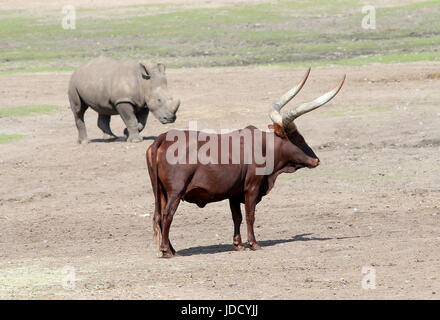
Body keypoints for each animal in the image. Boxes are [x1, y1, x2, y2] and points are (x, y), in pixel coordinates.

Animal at [146, 69, 346, 258]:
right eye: (297, 137)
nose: (315, 160)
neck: (263, 146)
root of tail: (162, 138)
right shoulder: (252, 187)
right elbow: (250, 215)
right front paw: (254, 243)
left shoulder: (234, 193)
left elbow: (237, 217)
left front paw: (238, 244)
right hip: (175, 191)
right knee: (167, 214)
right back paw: (166, 250)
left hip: (160, 192)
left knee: (159, 216)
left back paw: (171, 249)